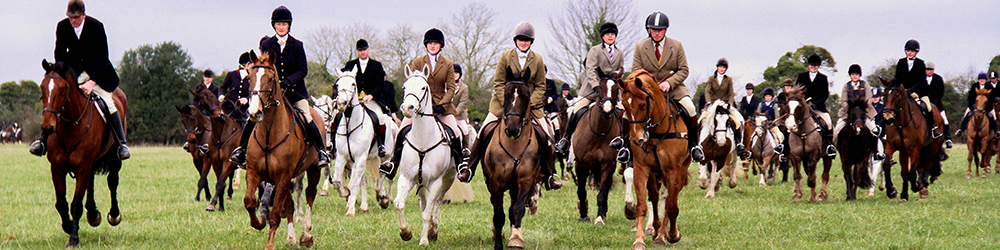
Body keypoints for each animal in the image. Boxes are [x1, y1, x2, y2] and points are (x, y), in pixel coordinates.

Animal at [40, 59, 128, 248]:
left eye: (62, 89)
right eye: (42, 88)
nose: (47, 127)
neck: (70, 125)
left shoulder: (82, 168)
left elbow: (75, 206)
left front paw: (73, 239)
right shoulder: (57, 169)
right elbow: (61, 203)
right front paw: (68, 226)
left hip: (114, 156)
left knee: (112, 181)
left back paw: (114, 215)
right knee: (91, 181)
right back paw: (93, 214)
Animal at [240, 51, 322, 249]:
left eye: (271, 79)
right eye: (250, 77)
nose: (254, 113)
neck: (269, 133)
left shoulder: (284, 176)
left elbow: (276, 212)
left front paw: (270, 244)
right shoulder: (254, 172)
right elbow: (250, 201)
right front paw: (259, 222)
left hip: (313, 169)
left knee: (310, 195)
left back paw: (305, 235)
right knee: (291, 204)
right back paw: (291, 238)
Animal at [330, 65, 396, 215]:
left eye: (353, 84)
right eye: (338, 84)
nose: (341, 104)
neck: (350, 124)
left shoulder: (360, 158)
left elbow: (355, 184)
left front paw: (351, 210)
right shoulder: (342, 157)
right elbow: (337, 181)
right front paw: (345, 193)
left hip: (386, 156)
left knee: (383, 175)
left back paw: (383, 198)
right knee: (366, 180)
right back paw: (365, 206)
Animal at [572, 70, 624, 225]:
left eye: (616, 88)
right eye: (599, 87)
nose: (607, 110)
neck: (598, 132)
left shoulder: (608, 164)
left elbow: (602, 192)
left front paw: (600, 217)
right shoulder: (580, 164)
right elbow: (581, 190)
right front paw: (583, 215)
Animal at [616, 69, 688, 249]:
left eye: (643, 104)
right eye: (625, 105)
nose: (637, 139)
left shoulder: (673, 170)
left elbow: (671, 206)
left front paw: (671, 235)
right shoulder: (642, 168)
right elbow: (643, 205)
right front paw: (639, 240)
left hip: (679, 171)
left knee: (668, 199)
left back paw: (662, 235)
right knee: (655, 197)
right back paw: (655, 230)